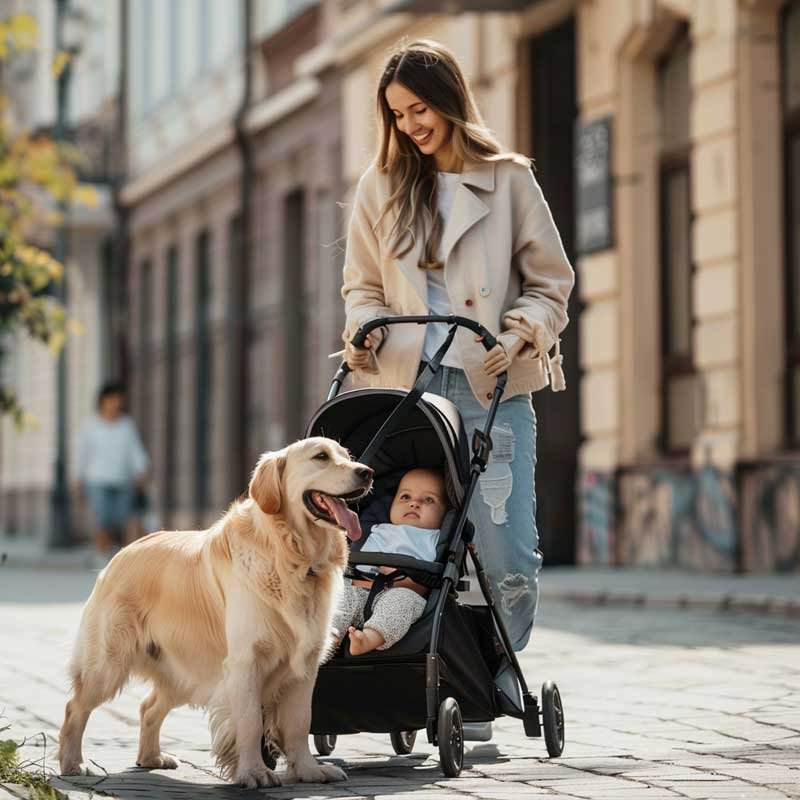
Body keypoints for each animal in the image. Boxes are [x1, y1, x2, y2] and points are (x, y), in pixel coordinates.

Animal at [58, 438, 372, 788]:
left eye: (348, 456)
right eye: (321, 457)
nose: (367, 472)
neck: (291, 556)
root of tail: (120, 553)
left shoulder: (304, 665)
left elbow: (299, 723)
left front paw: (309, 770)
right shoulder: (245, 662)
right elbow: (250, 723)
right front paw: (255, 773)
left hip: (183, 669)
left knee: (148, 707)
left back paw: (151, 757)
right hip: (109, 663)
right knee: (75, 707)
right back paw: (73, 764)